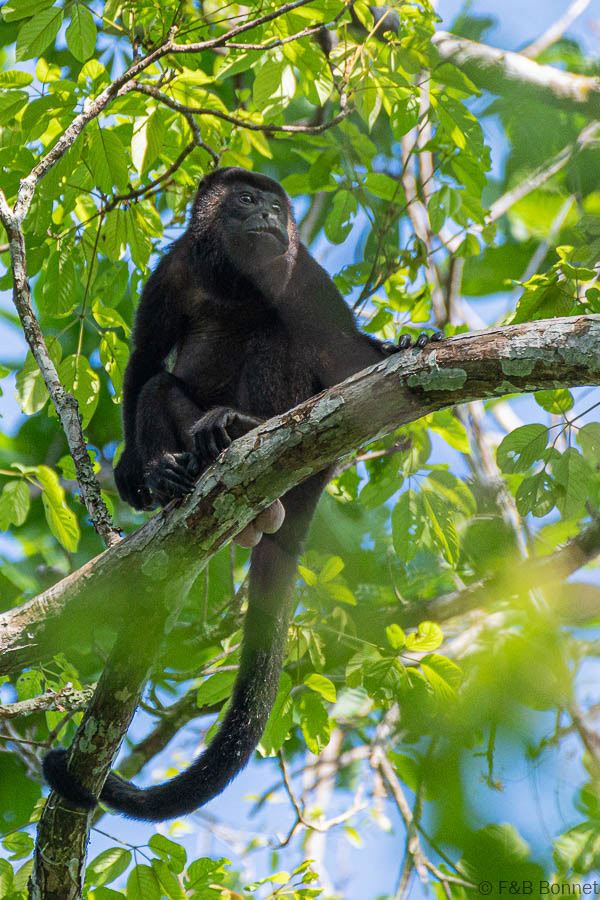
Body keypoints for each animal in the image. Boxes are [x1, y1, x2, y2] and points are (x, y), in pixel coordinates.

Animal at [43, 167, 441, 821]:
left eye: (279, 208)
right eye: (248, 200)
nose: (272, 218)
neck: (230, 281)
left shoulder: (303, 272)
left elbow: (337, 344)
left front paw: (401, 344)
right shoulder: (172, 268)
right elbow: (144, 360)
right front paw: (132, 471)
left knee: (279, 336)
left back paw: (244, 426)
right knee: (158, 386)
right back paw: (174, 474)